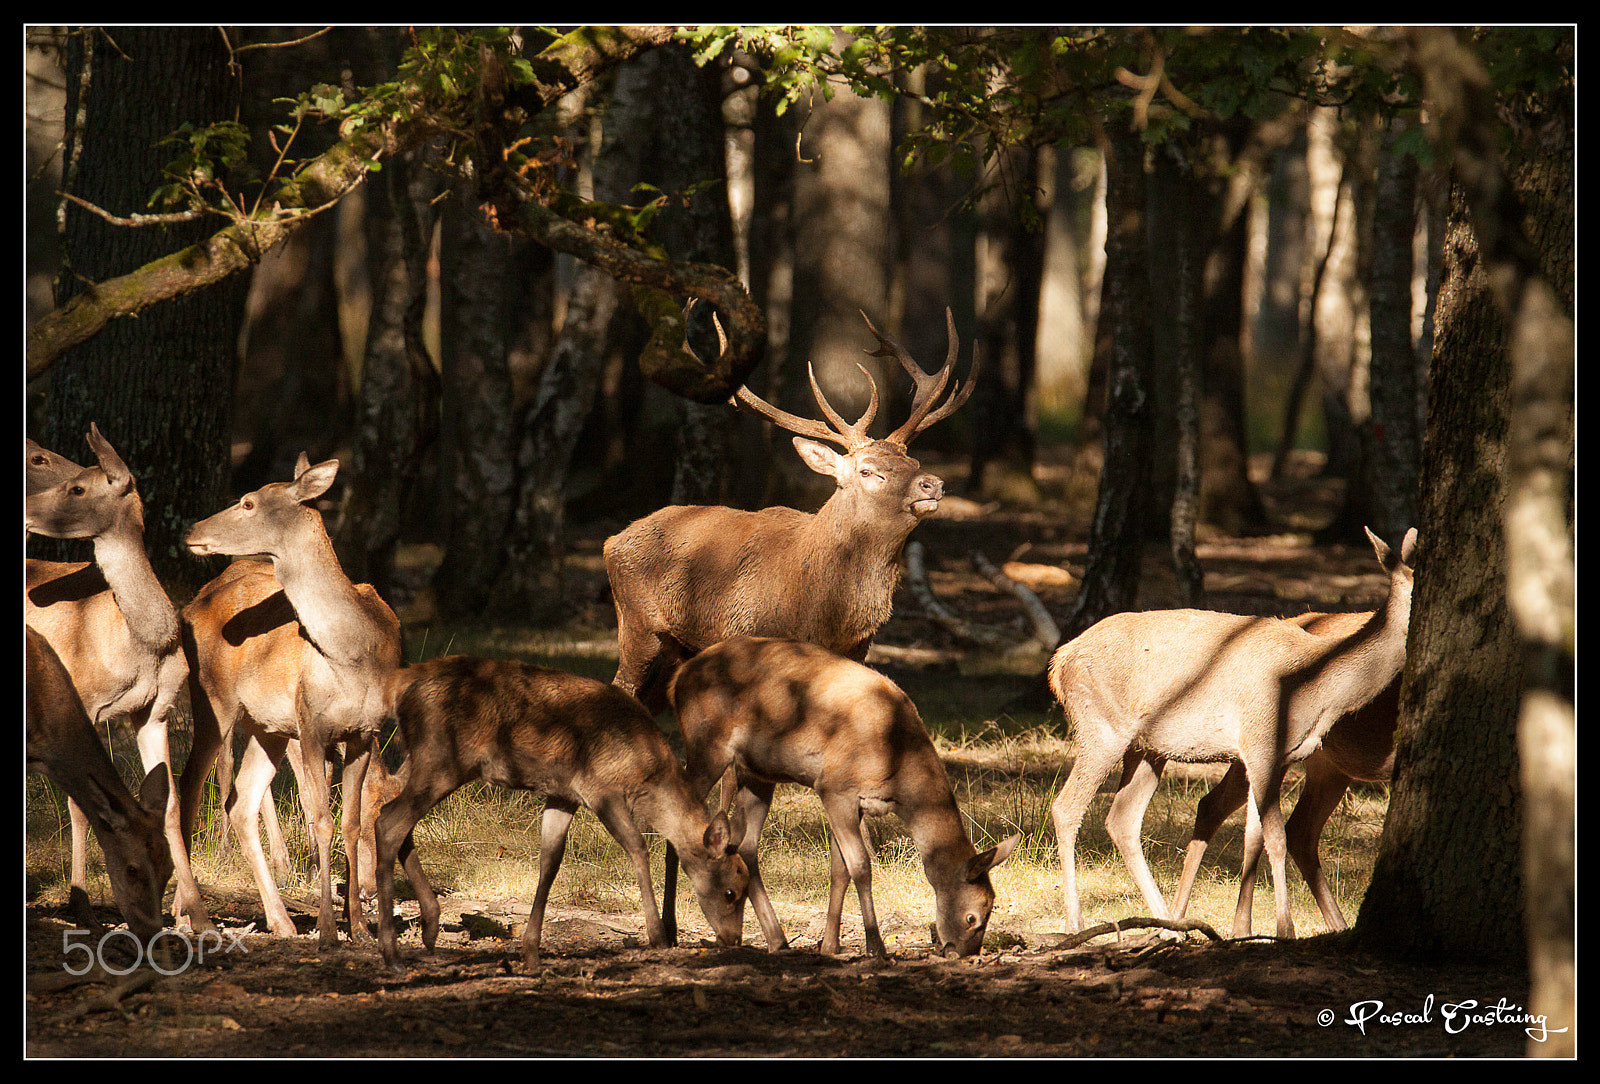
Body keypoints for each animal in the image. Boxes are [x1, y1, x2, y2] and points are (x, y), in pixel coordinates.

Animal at [179, 454, 402, 949]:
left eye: (248, 502)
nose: (190, 528)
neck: (353, 655)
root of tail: (190, 604)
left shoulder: (364, 733)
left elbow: (347, 821)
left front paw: (360, 928)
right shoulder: (311, 724)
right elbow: (319, 817)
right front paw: (328, 928)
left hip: (268, 728)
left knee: (241, 804)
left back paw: (280, 921)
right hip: (213, 701)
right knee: (187, 789)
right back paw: (186, 916)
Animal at [372, 654, 748, 972]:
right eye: (731, 892)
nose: (734, 939)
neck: (646, 777)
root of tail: (401, 684)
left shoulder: (562, 795)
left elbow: (550, 862)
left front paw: (531, 953)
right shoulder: (600, 788)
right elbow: (638, 848)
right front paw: (658, 937)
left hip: (422, 759)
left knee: (392, 811)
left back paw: (429, 928)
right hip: (442, 758)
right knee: (389, 822)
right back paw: (392, 955)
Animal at [604, 308, 978, 712]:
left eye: (913, 461)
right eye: (867, 471)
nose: (933, 484)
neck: (820, 611)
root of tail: (613, 540)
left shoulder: (856, 649)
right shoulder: (751, 634)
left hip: (677, 645)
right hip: (638, 622)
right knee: (623, 686)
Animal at [665, 636, 1021, 960]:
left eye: (991, 910)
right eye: (972, 917)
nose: (966, 953)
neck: (897, 759)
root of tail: (677, 679)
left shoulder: (856, 802)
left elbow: (840, 869)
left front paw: (830, 946)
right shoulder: (834, 787)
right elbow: (860, 866)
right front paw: (876, 948)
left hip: (757, 773)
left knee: (745, 844)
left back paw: (778, 940)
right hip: (706, 743)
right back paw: (668, 932)